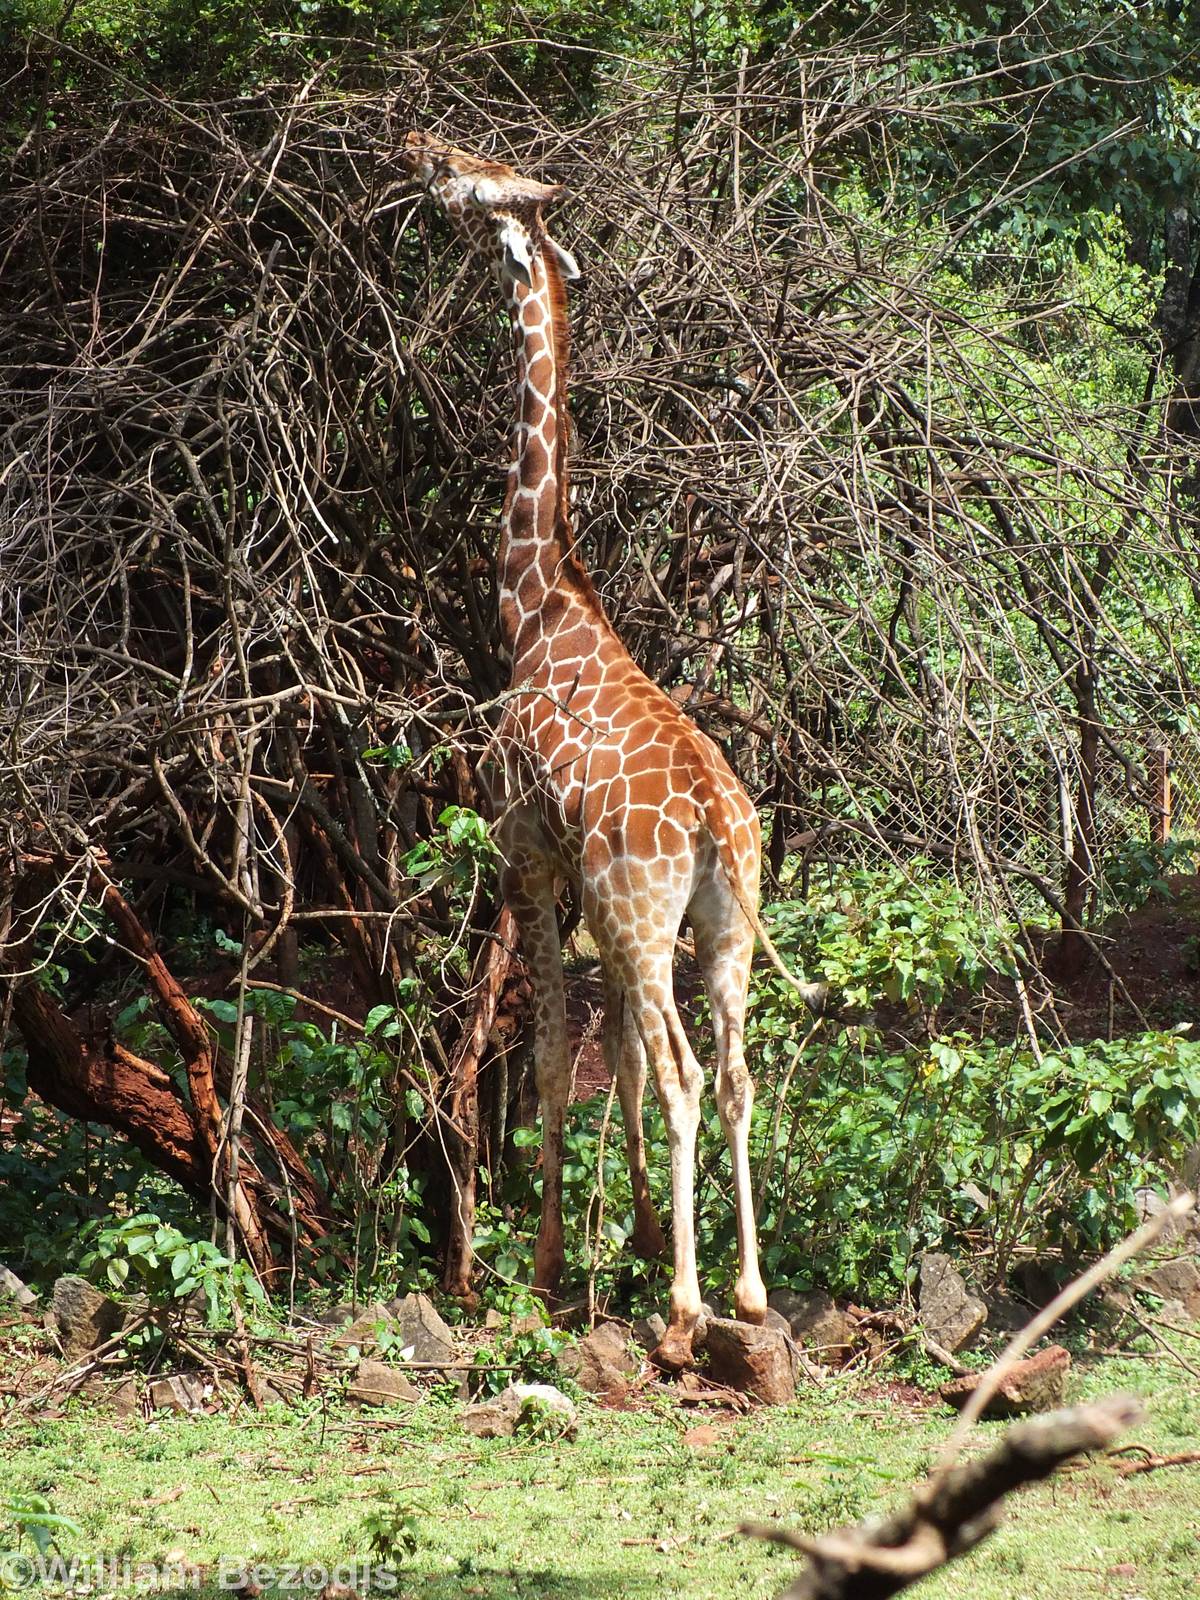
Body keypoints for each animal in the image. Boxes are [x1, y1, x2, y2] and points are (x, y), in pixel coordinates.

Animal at [400, 132, 826, 1369]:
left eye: (472, 167)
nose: (416, 150)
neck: (538, 601)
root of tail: (716, 822)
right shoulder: (595, 894)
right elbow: (620, 1063)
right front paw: (630, 1236)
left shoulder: (531, 853)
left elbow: (554, 1058)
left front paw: (551, 1266)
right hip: (720, 923)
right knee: (732, 1072)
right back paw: (746, 1291)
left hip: (646, 911)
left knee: (687, 1073)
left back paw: (687, 1313)